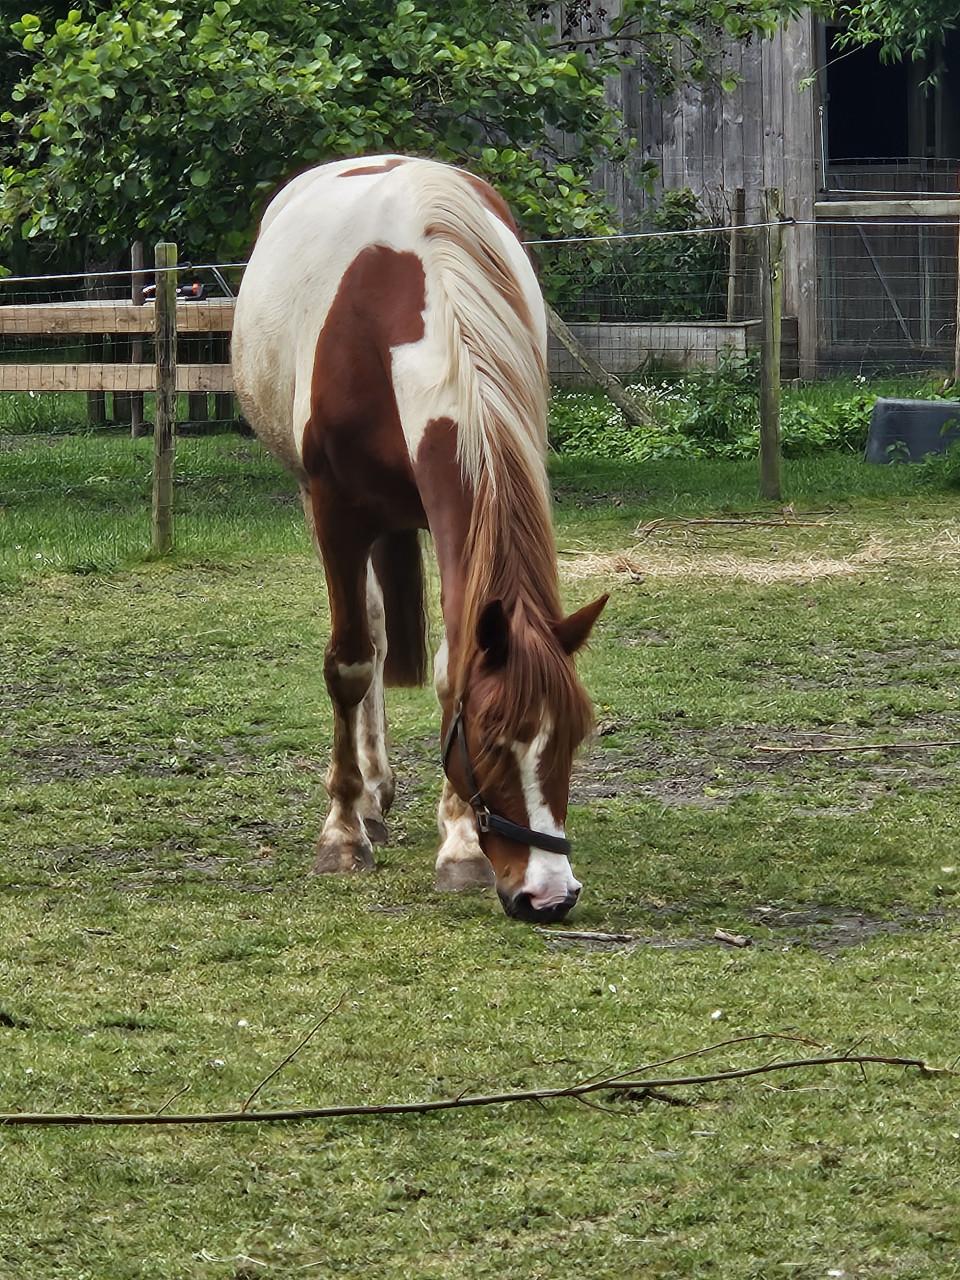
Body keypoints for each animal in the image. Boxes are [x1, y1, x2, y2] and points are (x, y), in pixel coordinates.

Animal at [232, 154, 607, 924]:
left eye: (574, 735)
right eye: (491, 740)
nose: (549, 895)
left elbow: (448, 668)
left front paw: (459, 845)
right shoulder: (336, 510)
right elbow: (349, 663)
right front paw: (343, 833)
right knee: (369, 637)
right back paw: (369, 800)